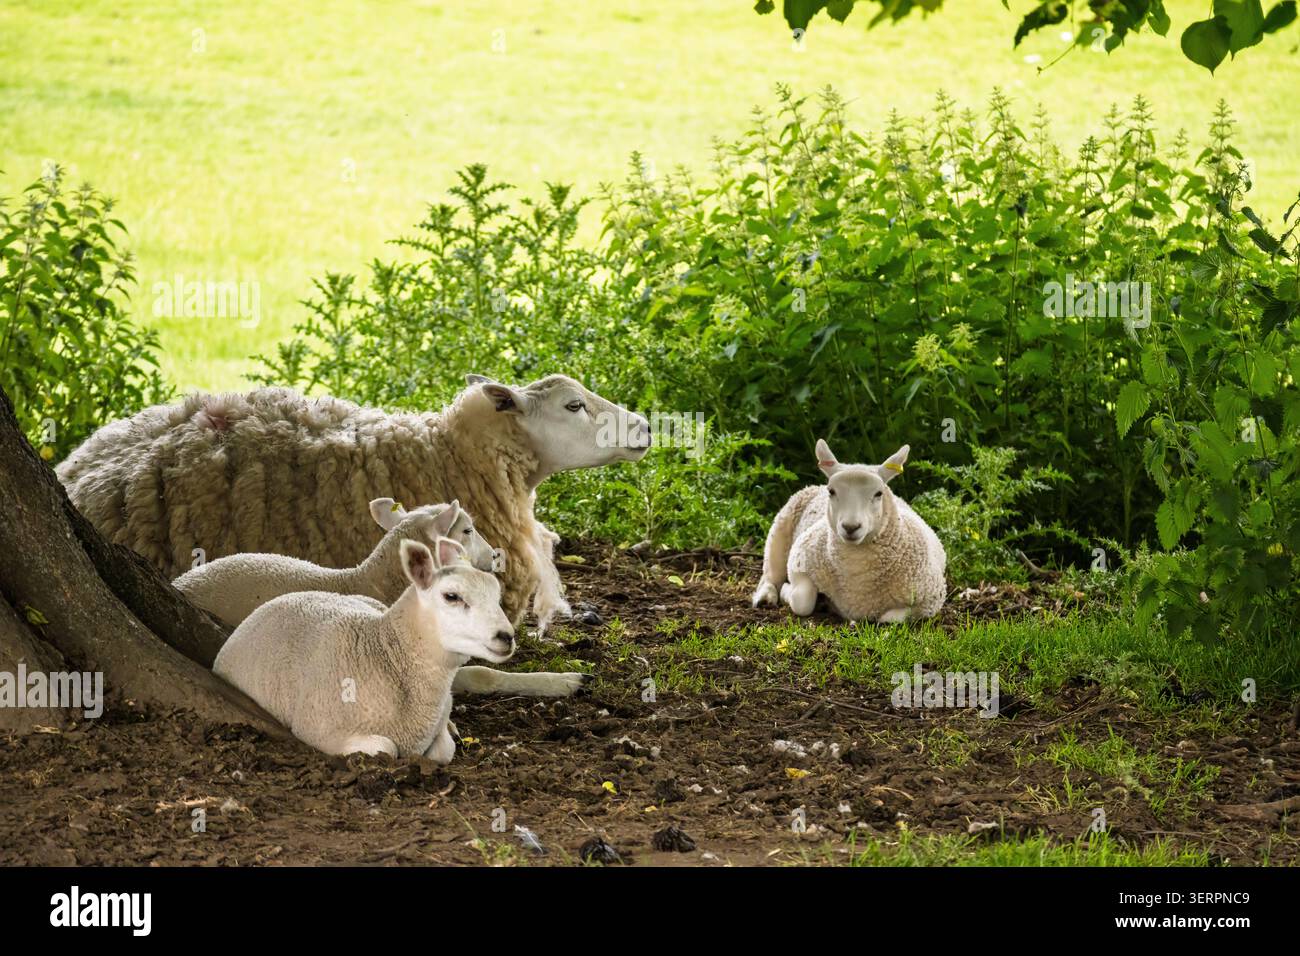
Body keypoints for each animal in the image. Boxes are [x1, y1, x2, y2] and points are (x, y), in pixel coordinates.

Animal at [213, 536, 514, 760]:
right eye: (452, 596)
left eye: (496, 595)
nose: (507, 636)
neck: (386, 654)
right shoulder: (318, 731)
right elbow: (387, 748)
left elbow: (442, 750)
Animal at [751, 440, 946, 623]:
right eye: (832, 491)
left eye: (878, 493)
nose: (850, 527)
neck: (856, 580)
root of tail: (814, 486)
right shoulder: (799, 561)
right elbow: (802, 601)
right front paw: (787, 591)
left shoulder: (931, 600)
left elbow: (889, 618)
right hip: (779, 529)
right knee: (770, 572)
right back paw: (766, 596)